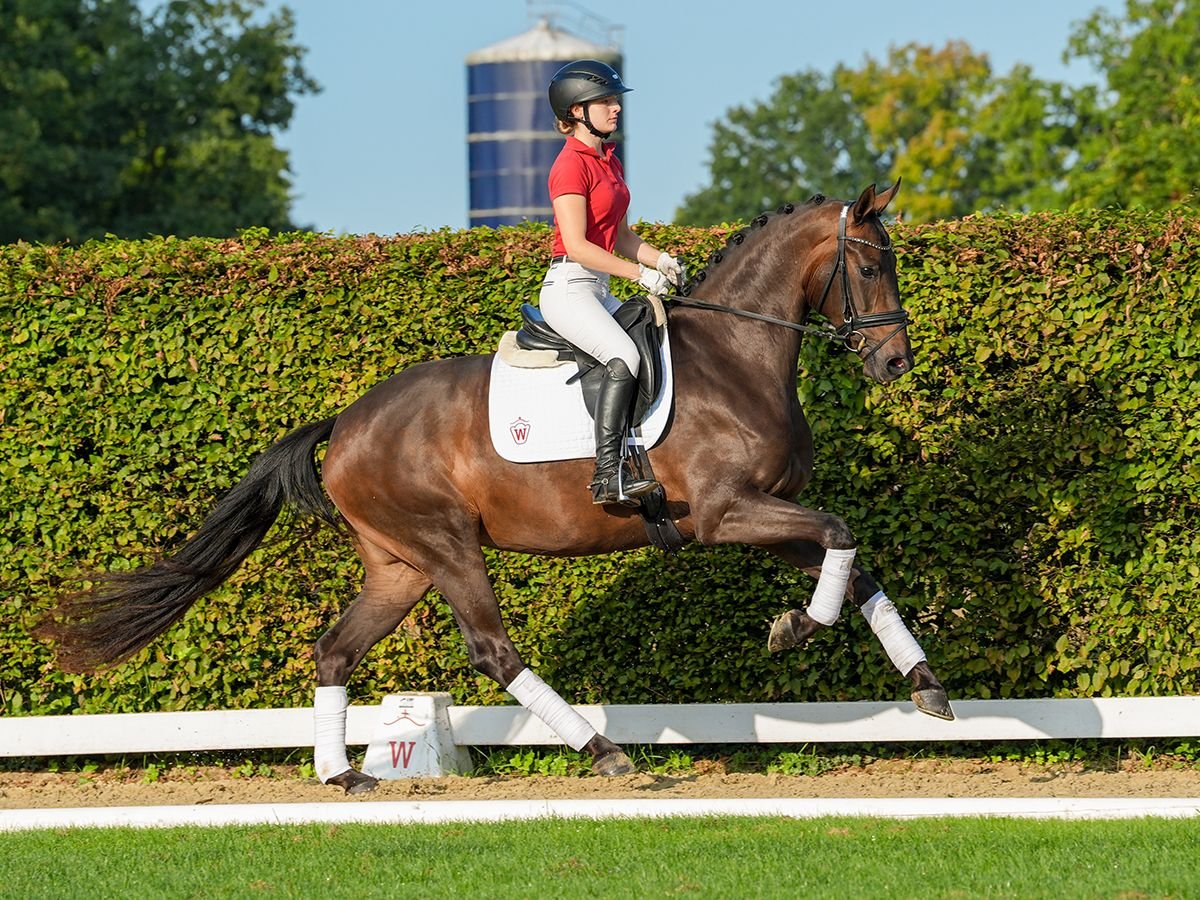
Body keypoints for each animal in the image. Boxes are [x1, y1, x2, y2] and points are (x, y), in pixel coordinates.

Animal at [37, 183, 950, 796]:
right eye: (871, 263)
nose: (895, 363)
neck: (737, 357)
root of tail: (346, 420)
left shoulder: (761, 516)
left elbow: (853, 562)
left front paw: (926, 686)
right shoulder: (726, 514)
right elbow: (841, 534)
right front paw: (796, 630)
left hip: (400, 564)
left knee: (336, 649)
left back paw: (343, 776)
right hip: (445, 545)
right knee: (491, 649)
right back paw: (602, 751)